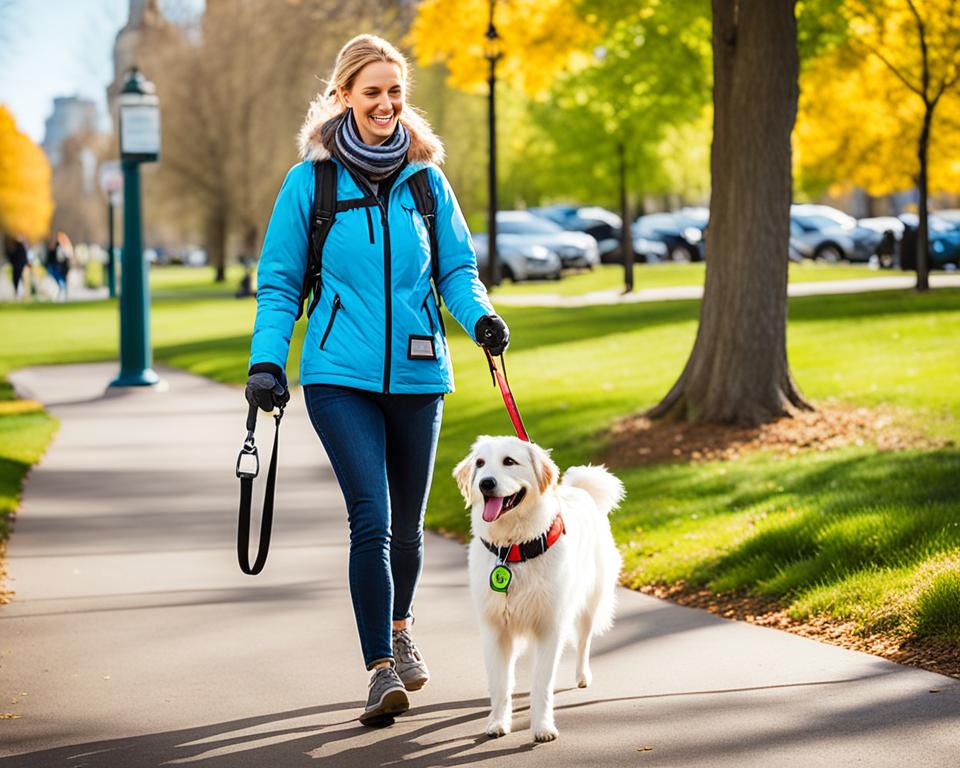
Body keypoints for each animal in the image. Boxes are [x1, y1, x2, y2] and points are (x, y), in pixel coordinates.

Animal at [456, 438, 628, 744]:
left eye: (509, 461)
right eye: (480, 464)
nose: (486, 483)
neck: (513, 549)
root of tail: (581, 490)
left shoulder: (550, 627)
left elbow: (542, 684)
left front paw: (543, 727)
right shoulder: (495, 630)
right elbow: (500, 684)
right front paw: (498, 722)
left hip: (589, 604)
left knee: (583, 642)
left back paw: (582, 676)